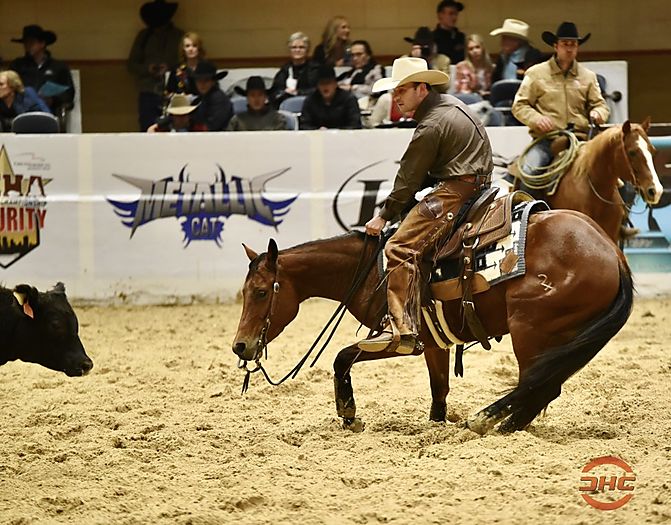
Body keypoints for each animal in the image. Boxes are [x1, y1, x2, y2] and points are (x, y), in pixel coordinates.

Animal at [233, 209, 633, 435]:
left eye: (261, 292)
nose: (240, 346)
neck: (374, 270)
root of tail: (611, 252)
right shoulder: (434, 341)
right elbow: (438, 388)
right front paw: (435, 424)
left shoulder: (401, 339)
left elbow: (341, 356)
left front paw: (348, 414)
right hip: (565, 340)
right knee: (542, 387)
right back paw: (502, 424)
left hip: (531, 329)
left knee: (537, 386)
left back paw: (486, 421)